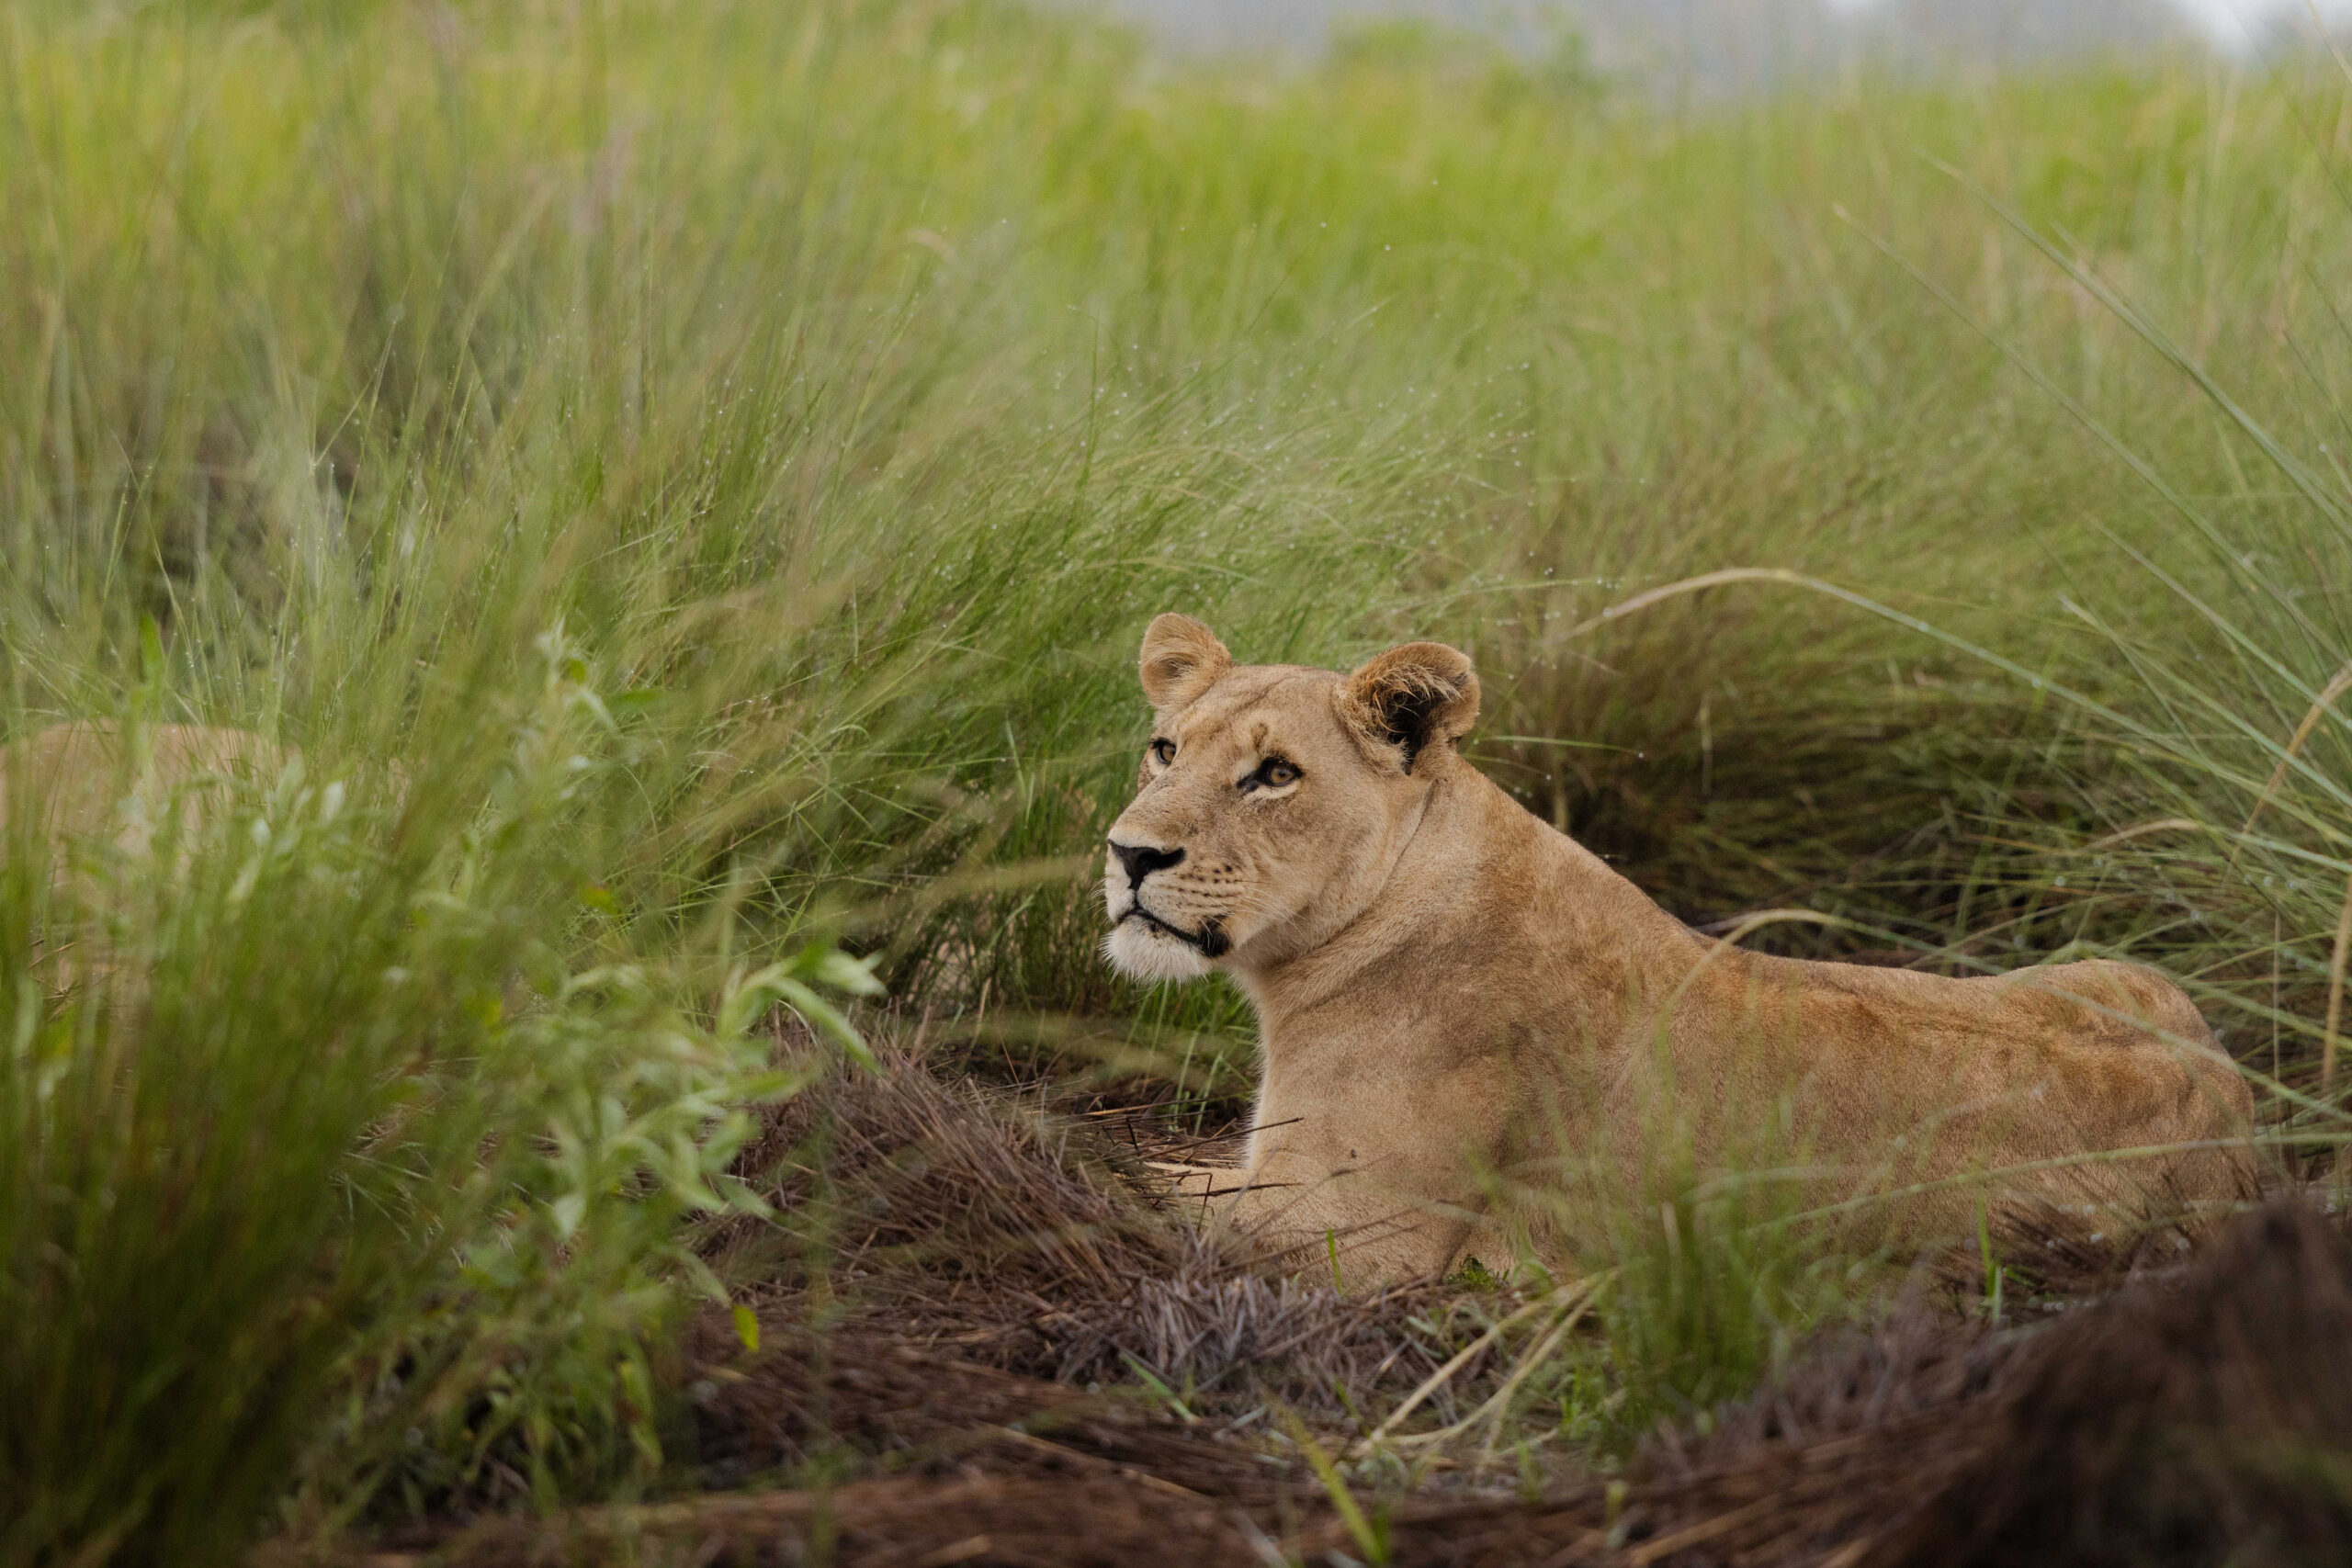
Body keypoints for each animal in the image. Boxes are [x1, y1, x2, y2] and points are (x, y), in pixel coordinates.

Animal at [1102, 615, 2256, 1282]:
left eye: (1275, 776)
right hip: (2122, 972)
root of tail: (2240, 1116)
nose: (1129, 854)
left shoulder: (1357, 1233)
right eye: (1164, 749)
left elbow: (1128, 1178)